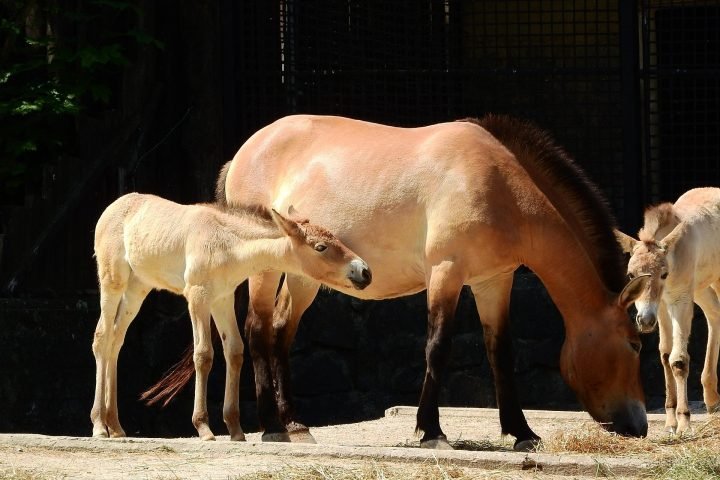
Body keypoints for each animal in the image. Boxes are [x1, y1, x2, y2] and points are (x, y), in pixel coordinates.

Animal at [90, 192, 371, 441]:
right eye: (320, 247)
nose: (364, 271)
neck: (226, 244)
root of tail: (113, 207)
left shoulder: (222, 299)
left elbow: (234, 352)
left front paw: (235, 429)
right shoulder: (198, 297)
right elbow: (203, 355)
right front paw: (203, 427)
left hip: (137, 289)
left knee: (116, 340)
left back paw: (115, 426)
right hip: (112, 282)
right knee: (102, 338)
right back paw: (99, 425)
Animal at [145, 114, 649, 451]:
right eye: (634, 343)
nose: (640, 424)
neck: (500, 185)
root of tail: (246, 150)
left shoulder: (493, 281)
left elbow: (500, 353)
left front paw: (522, 432)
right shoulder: (447, 273)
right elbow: (437, 347)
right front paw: (431, 431)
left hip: (306, 277)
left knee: (280, 332)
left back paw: (294, 424)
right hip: (267, 269)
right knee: (257, 330)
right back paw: (271, 426)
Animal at [615, 187, 720, 434]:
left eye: (663, 274)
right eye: (631, 275)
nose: (644, 321)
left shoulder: (680, 301)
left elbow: (678, 360)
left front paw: (684, 422)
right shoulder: (661, 306)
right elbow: (664, 355)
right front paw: (670, 422)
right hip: (701, 288)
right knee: (715, 314)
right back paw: (712, 399)